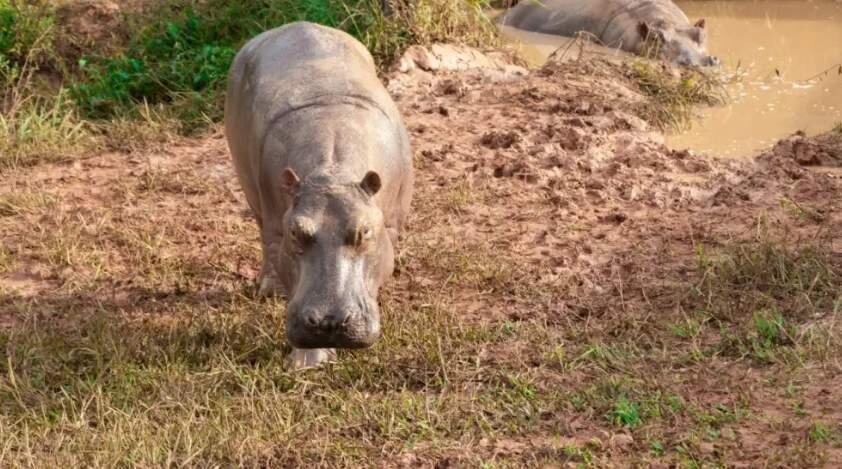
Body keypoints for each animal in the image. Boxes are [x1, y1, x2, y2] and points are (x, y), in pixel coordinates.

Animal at [226, 22, 414, 370]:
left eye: (365, 231)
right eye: (295, 231)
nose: (328, 323)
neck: (333, 173)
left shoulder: (391, 225)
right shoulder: (280, 228)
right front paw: (308, 364)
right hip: (250, 189)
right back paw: (268, 290)